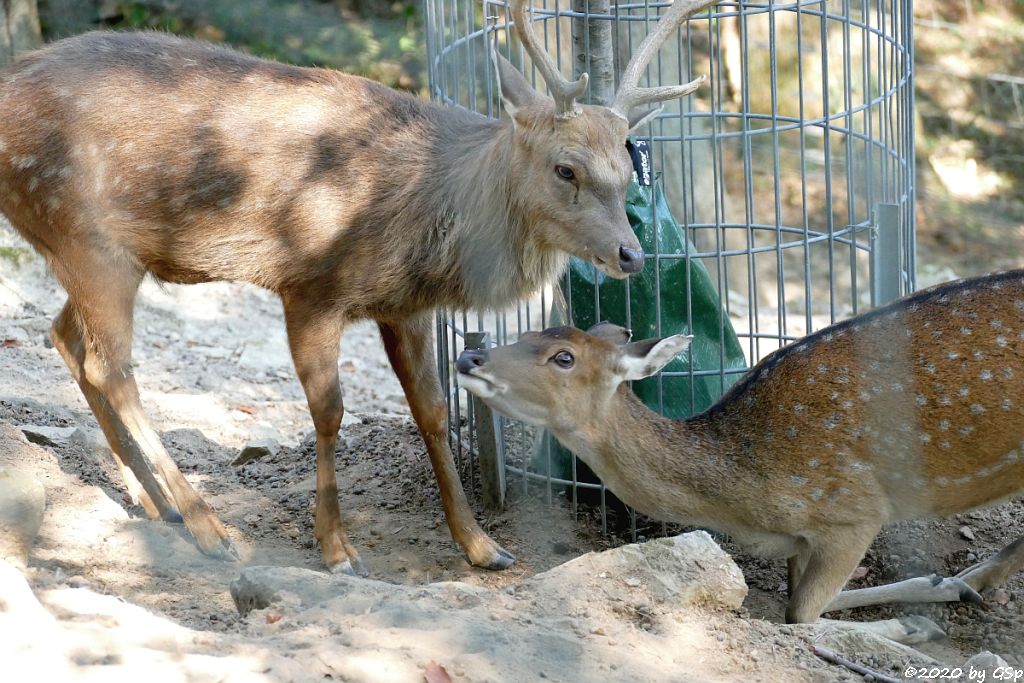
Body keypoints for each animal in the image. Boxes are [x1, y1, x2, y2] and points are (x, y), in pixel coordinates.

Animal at [0, 2, 720, 573]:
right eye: (565, 168)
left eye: (626, 170)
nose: (632, 253)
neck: (424, 210)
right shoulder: (309, 282)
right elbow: (330, 412)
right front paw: (338, 549)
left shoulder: (405, 304)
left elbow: (433, 410)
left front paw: (482, 545)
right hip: (85, 233)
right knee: (111, 365)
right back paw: (212, 530)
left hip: (94, 247)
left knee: (66, 338)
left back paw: (154, 502)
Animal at [456, 270, 1024, 638]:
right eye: (528, 331)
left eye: (564, 357)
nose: (469, 356)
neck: (746, 500)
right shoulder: (804, 538)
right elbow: (800, 601)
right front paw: (940, 587)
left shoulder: (854, 510)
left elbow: (801, 617)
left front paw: (914, 623)